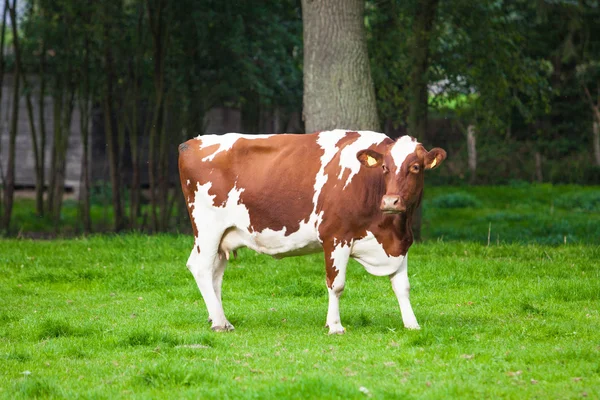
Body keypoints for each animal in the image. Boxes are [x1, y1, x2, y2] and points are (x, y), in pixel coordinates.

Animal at [178, 130, 446, 332]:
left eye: (415, 167)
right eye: (384, 168)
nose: (391, 201)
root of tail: (191, 142)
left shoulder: (400, 243)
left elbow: (403, 286)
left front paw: (411, 324)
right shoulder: (336, 236)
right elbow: (336, 284)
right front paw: (335, 326)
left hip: (223, 235)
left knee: (214, 272)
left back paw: (218, 318)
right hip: (207, 228)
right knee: (201, 267)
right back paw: (220, 323)